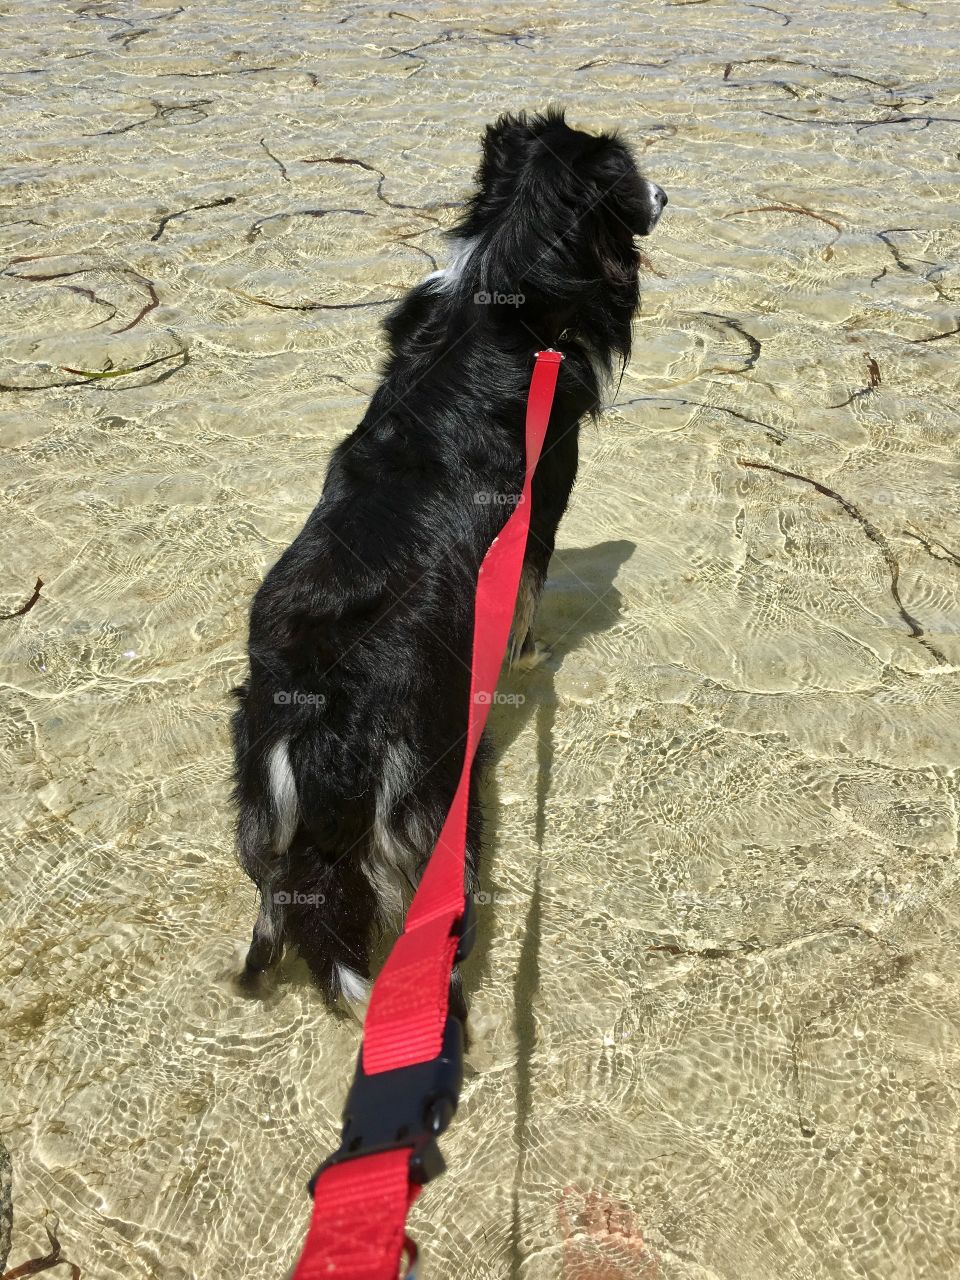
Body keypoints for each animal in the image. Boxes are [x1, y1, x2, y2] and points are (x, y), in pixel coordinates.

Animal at [232, 107, 670, 1008]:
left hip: (264, 812)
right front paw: (529, 655)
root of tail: (317, 710)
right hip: (427, 800)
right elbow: (530, 596)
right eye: (630, 174)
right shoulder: (543, 501)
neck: (500, 282)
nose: (670, 194)